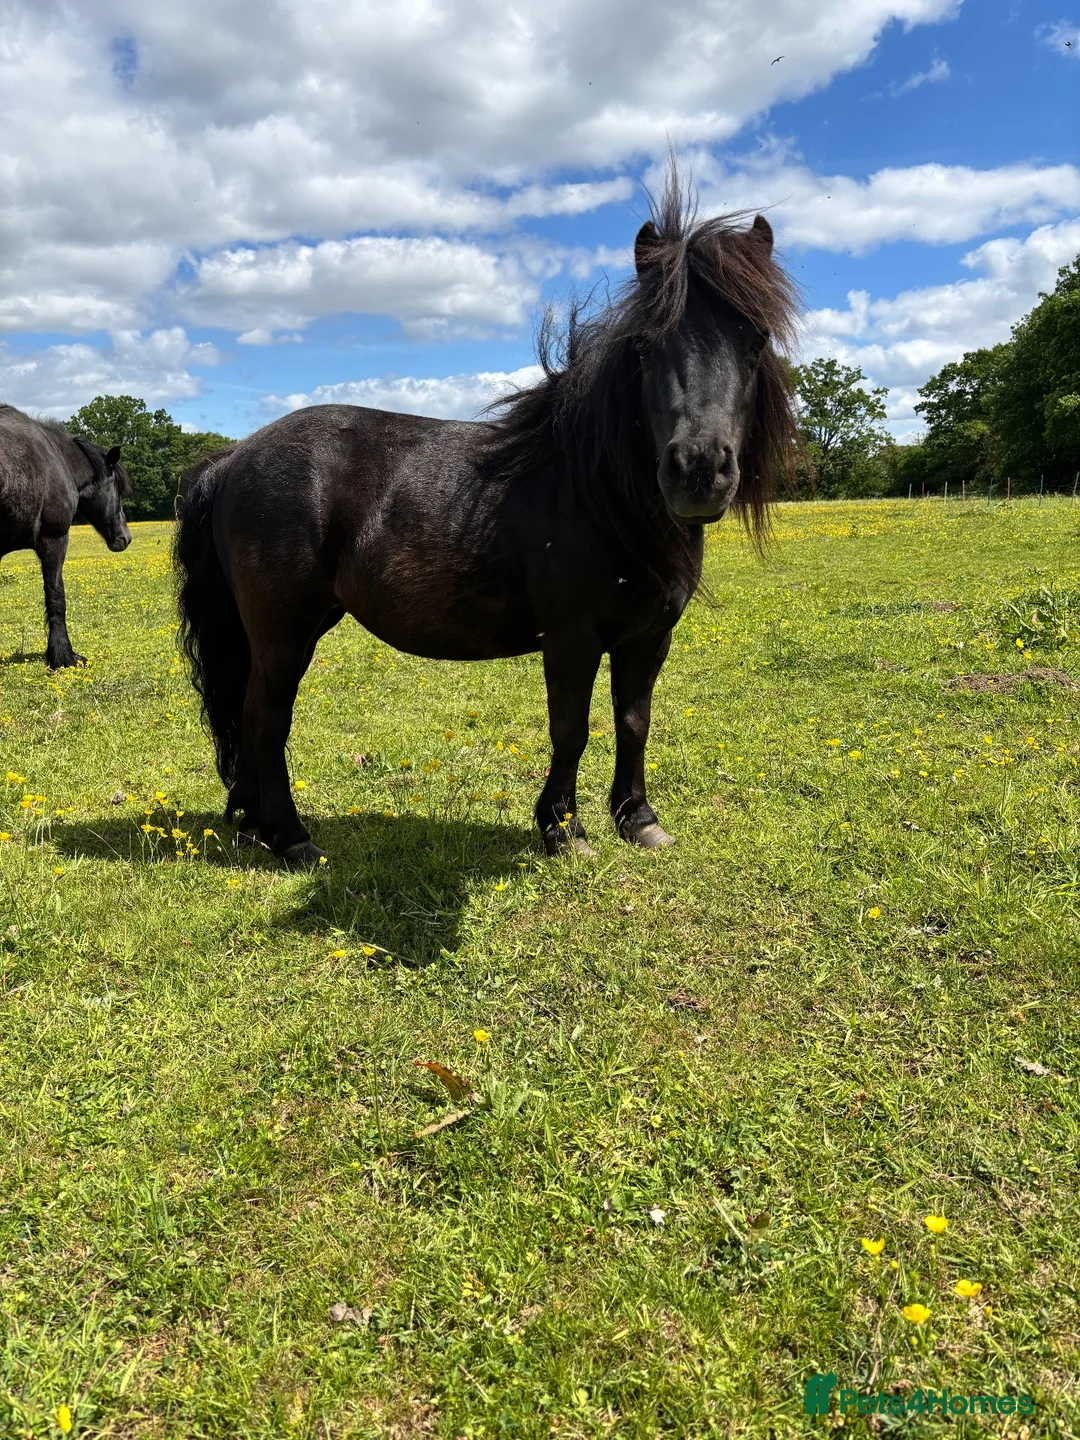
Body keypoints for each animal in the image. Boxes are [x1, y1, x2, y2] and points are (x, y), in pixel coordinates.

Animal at [175, 176, 799, 867]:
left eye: (754, 340)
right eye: (644, 346)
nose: (697, 469)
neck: (596, 493)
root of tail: (233, 458)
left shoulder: (649, 637)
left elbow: (633, 722)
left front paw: (637, 818)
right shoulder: (572, 636)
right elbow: (571, 727)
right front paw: (563, 829)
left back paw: (255, 825)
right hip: (283, 635)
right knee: (265, 720)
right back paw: (290, 837)